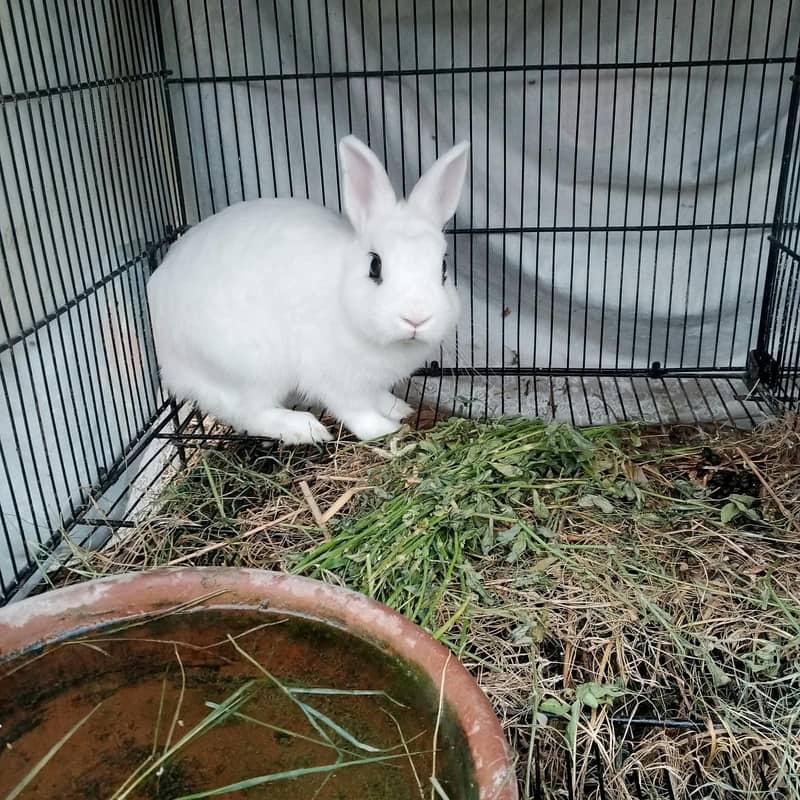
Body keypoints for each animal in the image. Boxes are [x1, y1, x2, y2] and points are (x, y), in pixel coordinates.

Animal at [147, 135, 470, 444]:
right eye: (374, 266)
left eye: (443, 268)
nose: (416, 317)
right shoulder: (335, 378)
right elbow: (355, 410)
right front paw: (383, 428)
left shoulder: (369, 382)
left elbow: (378, 396)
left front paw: (399, 408)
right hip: (253, 366)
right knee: (250, 412)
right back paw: (305, 430)